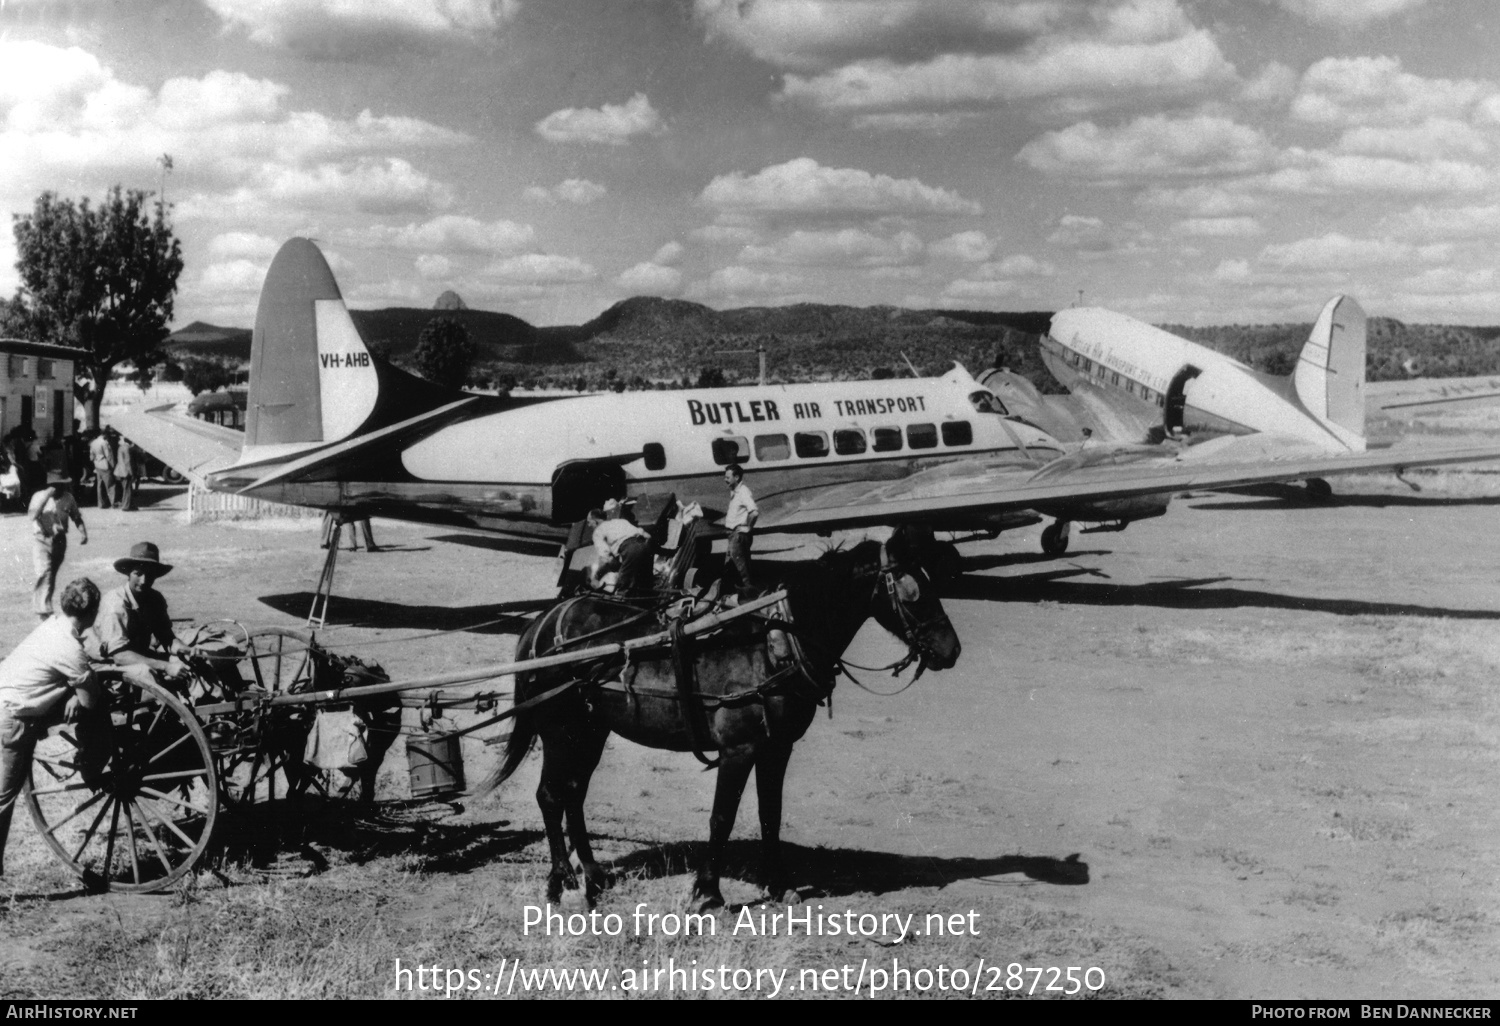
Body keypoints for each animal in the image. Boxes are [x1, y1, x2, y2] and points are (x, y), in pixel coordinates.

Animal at [477, 534, 960, 912]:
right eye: (914, 589)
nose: (950, 649)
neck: (774, 642)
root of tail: (541, 624)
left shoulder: (777, 747)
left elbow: (770, 815)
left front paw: (779, 886)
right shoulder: (738, 749)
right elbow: (721, 818)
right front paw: (707, 894)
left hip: (591, 731)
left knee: (573, 795)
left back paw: (593, 876)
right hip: (561, 730)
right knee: (550, 796)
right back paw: (564, 883)